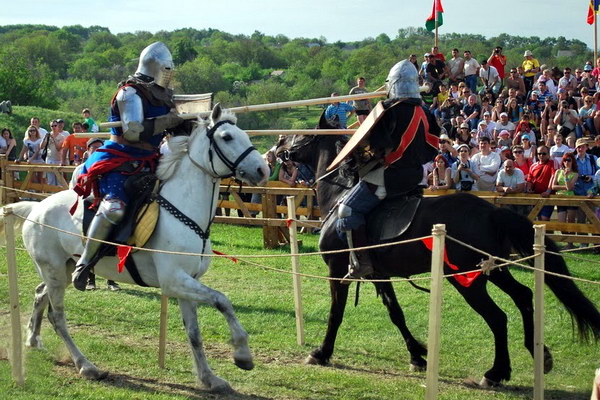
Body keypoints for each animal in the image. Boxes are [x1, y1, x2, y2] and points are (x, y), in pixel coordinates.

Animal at [6, 104, 268, 394]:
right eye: (227, 137)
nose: (262, 170)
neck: (184, 208)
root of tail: (35, 208)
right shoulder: (174, 280)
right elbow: (222, 300)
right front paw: (242, 354)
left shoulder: (186, 283)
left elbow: (194, 333)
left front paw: (209, 378)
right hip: (53, 269)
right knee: (57, 315)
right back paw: (86, 365)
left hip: (61, 270)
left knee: (40, 295)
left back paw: (33, 339)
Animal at [282, 111, 600, 386]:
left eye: (302, 136)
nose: (280, 145)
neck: (338, 195)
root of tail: (492, 211)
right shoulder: (379, 274)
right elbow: (395, 312)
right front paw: (417, 355)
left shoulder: (337, 270)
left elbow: (336, 313)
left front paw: (321, 352)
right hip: (493, 270)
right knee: (523, 296)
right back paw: (537, 354)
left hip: (468, 280)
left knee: (498, 317)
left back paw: (496, 373)